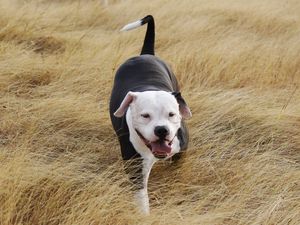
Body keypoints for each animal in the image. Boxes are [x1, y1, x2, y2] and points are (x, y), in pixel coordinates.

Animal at [109, 14, 191, 214]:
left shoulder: (180, 153)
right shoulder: (135, 169)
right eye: (145, 116)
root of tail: (145, 54)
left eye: (171, 114)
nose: (161, 130)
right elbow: (141, 199)